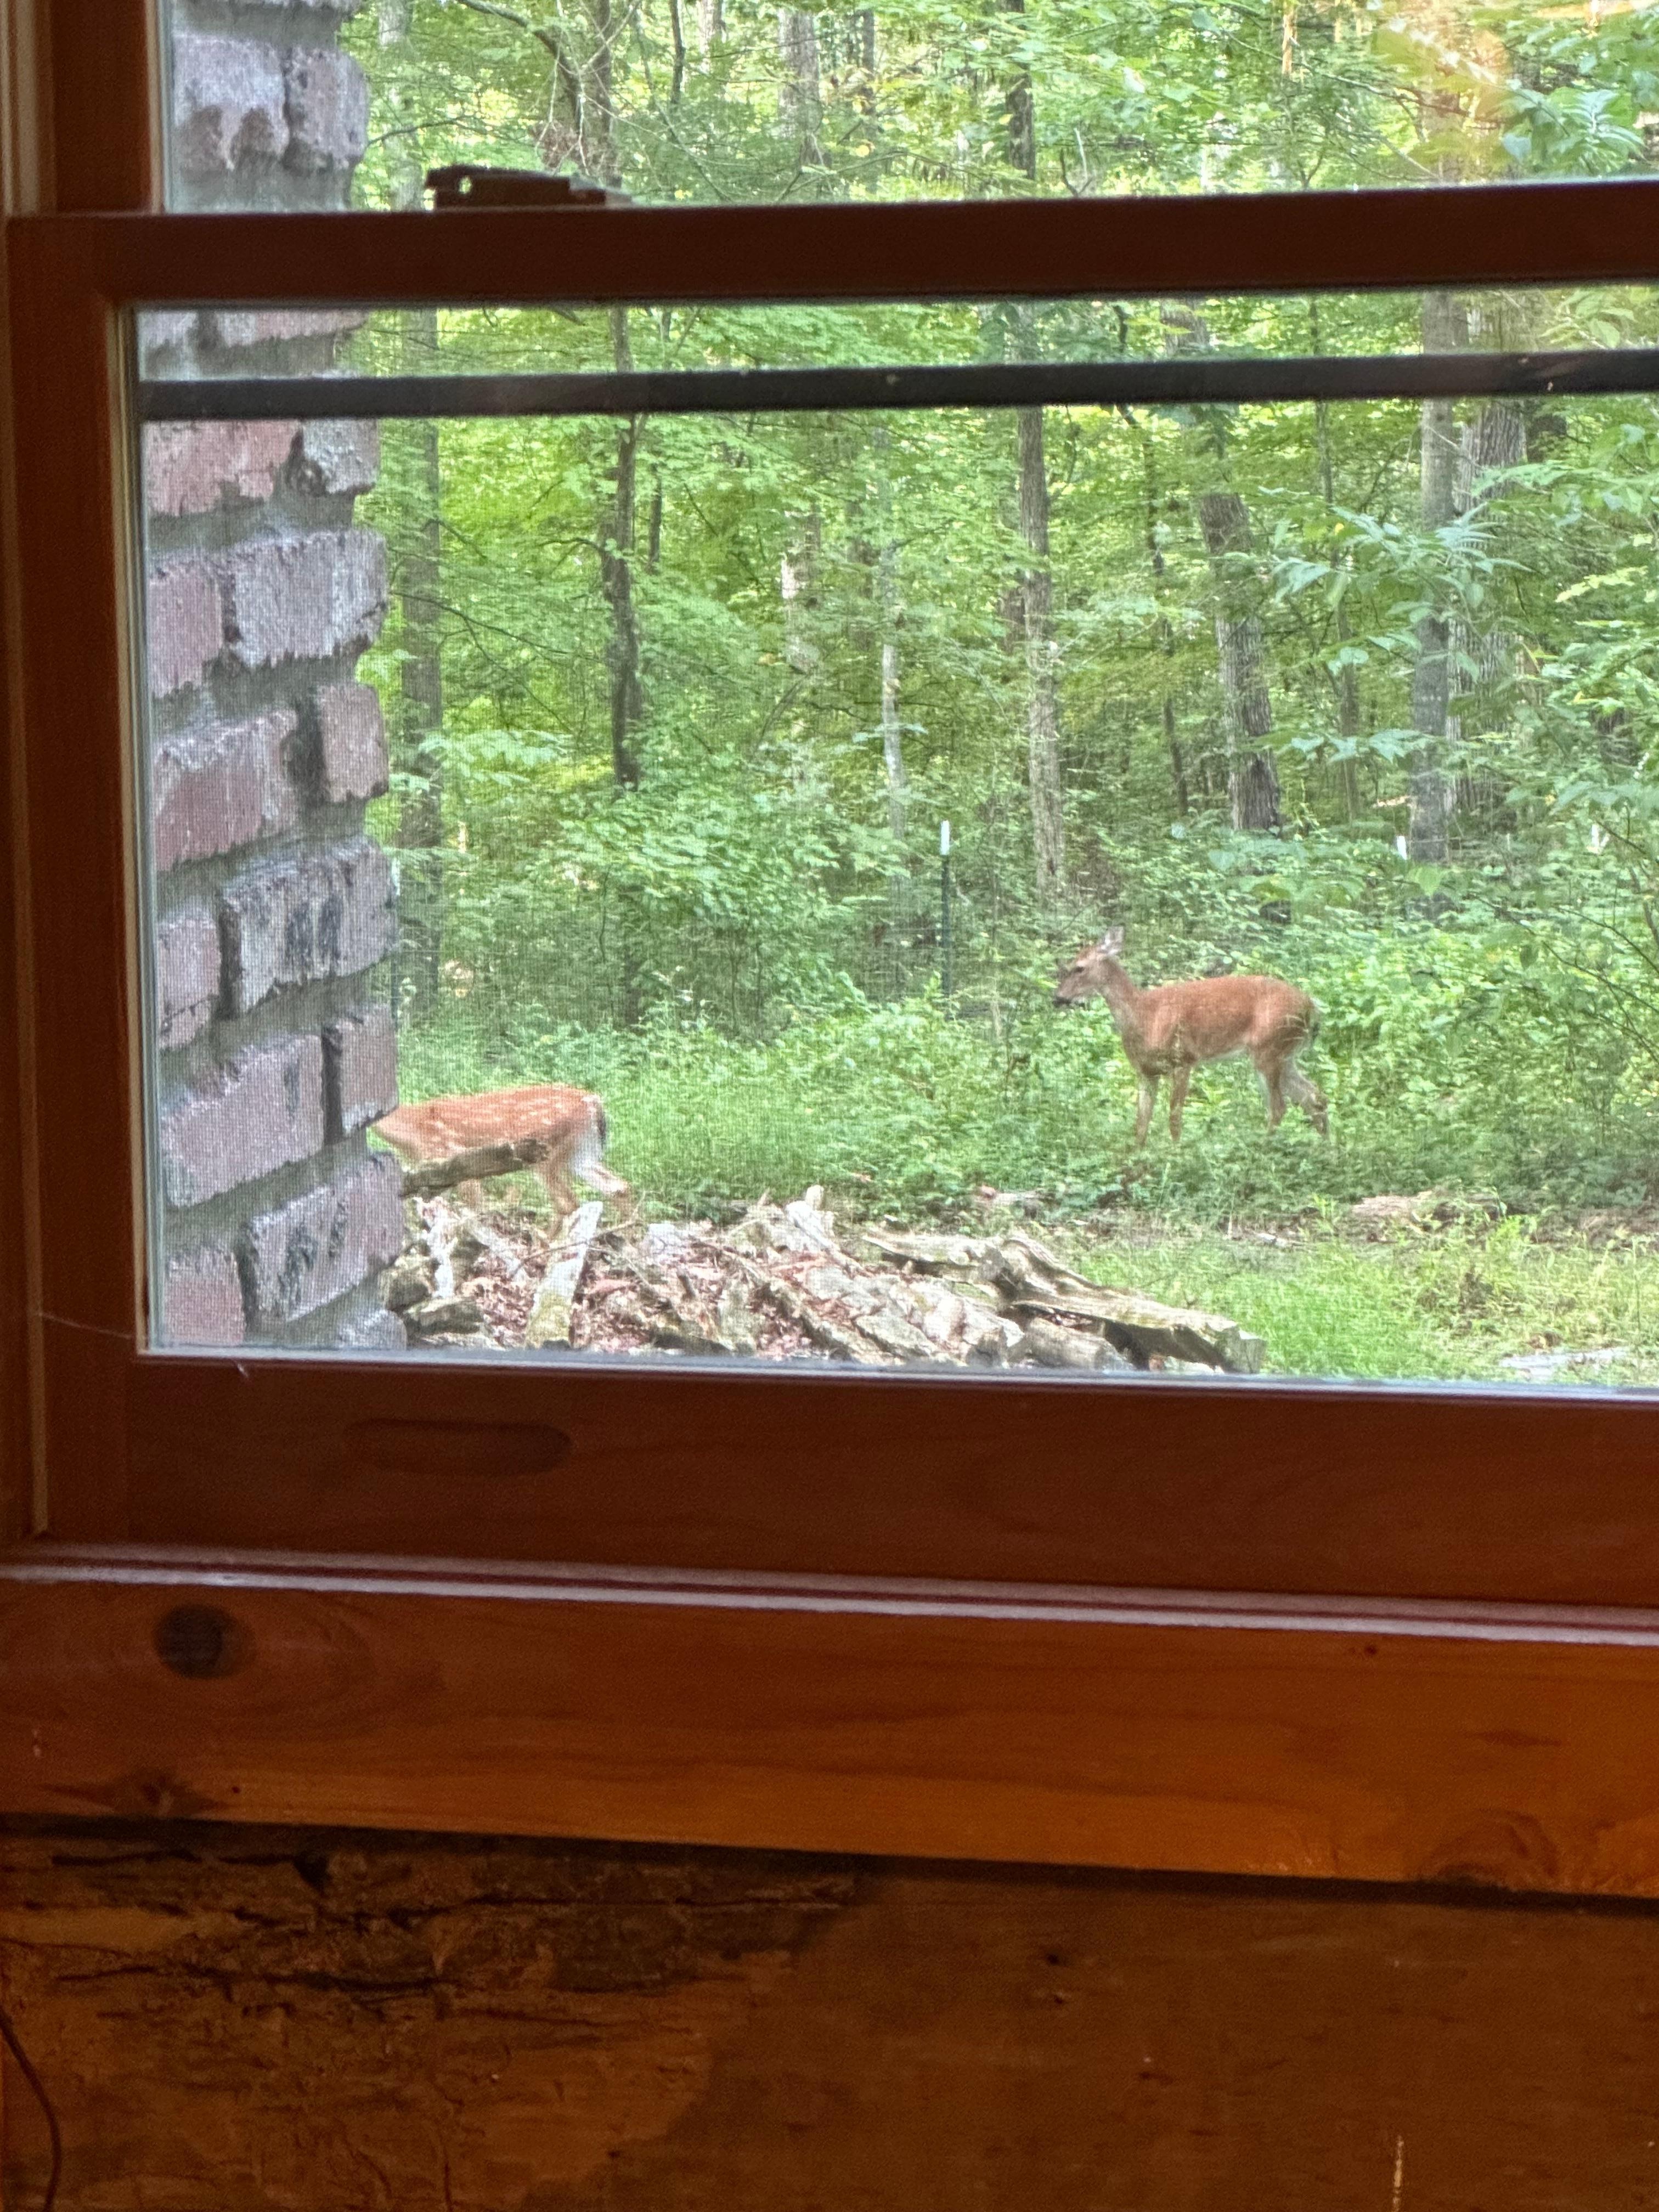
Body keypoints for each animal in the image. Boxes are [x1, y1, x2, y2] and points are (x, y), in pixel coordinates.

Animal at [374, 1085, 630, 1214]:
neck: (413, 1133)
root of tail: (593, 1102)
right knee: (618, 1187)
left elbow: (475, 1208)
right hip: (581, 1154)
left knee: (567, 1203)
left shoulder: (451, 1158)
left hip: (546, 1153)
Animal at [1054, 926, 1328, 1147]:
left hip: (1269, 1049)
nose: (1057, 997)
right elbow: (1141, 1123)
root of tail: (1311, 1007)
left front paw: (1175, 1154)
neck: (1144, 1015)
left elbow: (1174, 1115)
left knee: (1279, 1107)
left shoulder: (1183, 1060)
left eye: (1079, 968)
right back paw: (1326, 1149)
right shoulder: (1146, 1072)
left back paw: (1263, 1149)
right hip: (1285, 1055)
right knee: (1315, 1097)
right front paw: (1136, 1160)